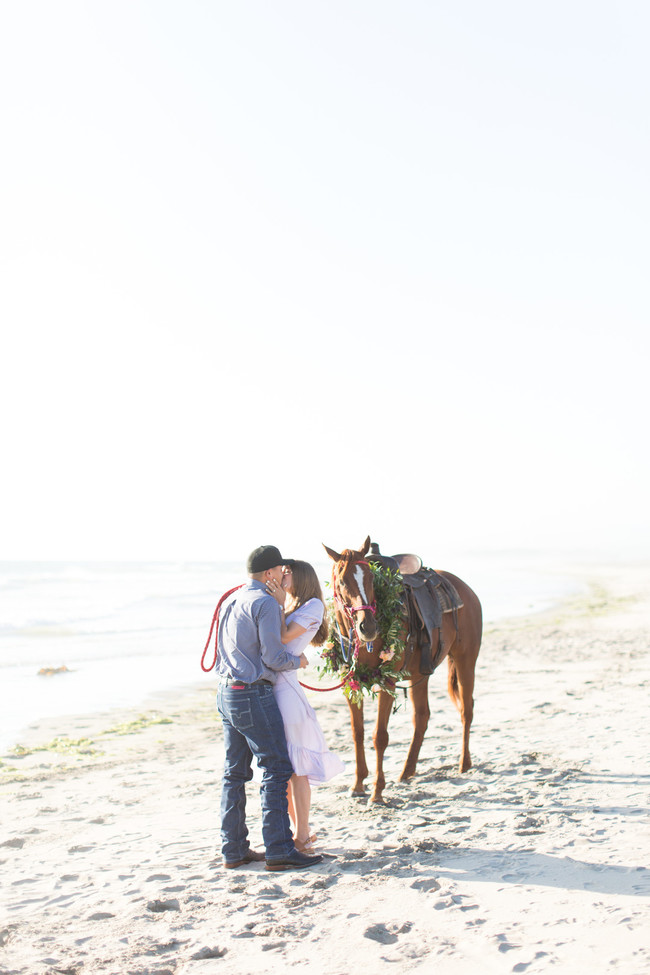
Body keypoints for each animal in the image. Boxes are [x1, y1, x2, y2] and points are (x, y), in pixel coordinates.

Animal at [322, 536, 478, 804]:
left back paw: (463, 763)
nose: (368, 627)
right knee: (422, 717)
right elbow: (357, 732)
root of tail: (465, 589)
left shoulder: (387, 682)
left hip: (466, 661)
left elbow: (379, 736)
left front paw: (377, 792)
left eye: (371, 578)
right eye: (341, 581)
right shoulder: (350, 682)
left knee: (466, 711)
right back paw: (407, 770)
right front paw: (358, 784)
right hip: (421, 673)